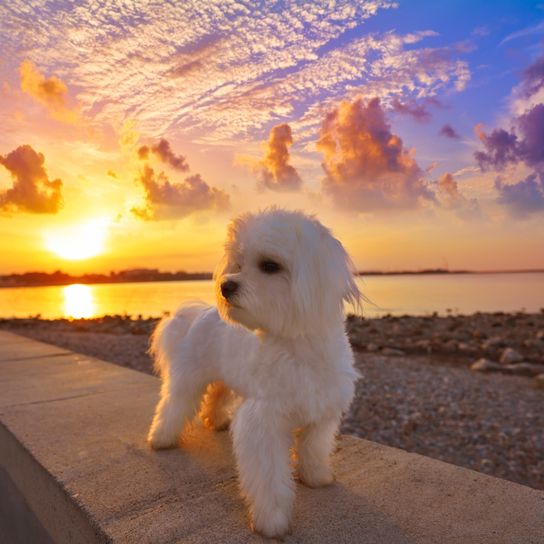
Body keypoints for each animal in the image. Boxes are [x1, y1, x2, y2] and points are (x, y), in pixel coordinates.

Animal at [148, 209, 362, 540]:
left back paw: (215, 420)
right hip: (189, 378)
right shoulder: (264, 423)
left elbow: (314, 448)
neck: (297, 346)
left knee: (216, 395)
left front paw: (316, 477)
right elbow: (269, 477)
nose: (225, 286)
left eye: (269, 266)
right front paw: (271, 520)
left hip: (227, 377)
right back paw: (161, 438)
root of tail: (201, 312)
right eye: (238, 264)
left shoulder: (323, 412)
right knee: (174, 405)